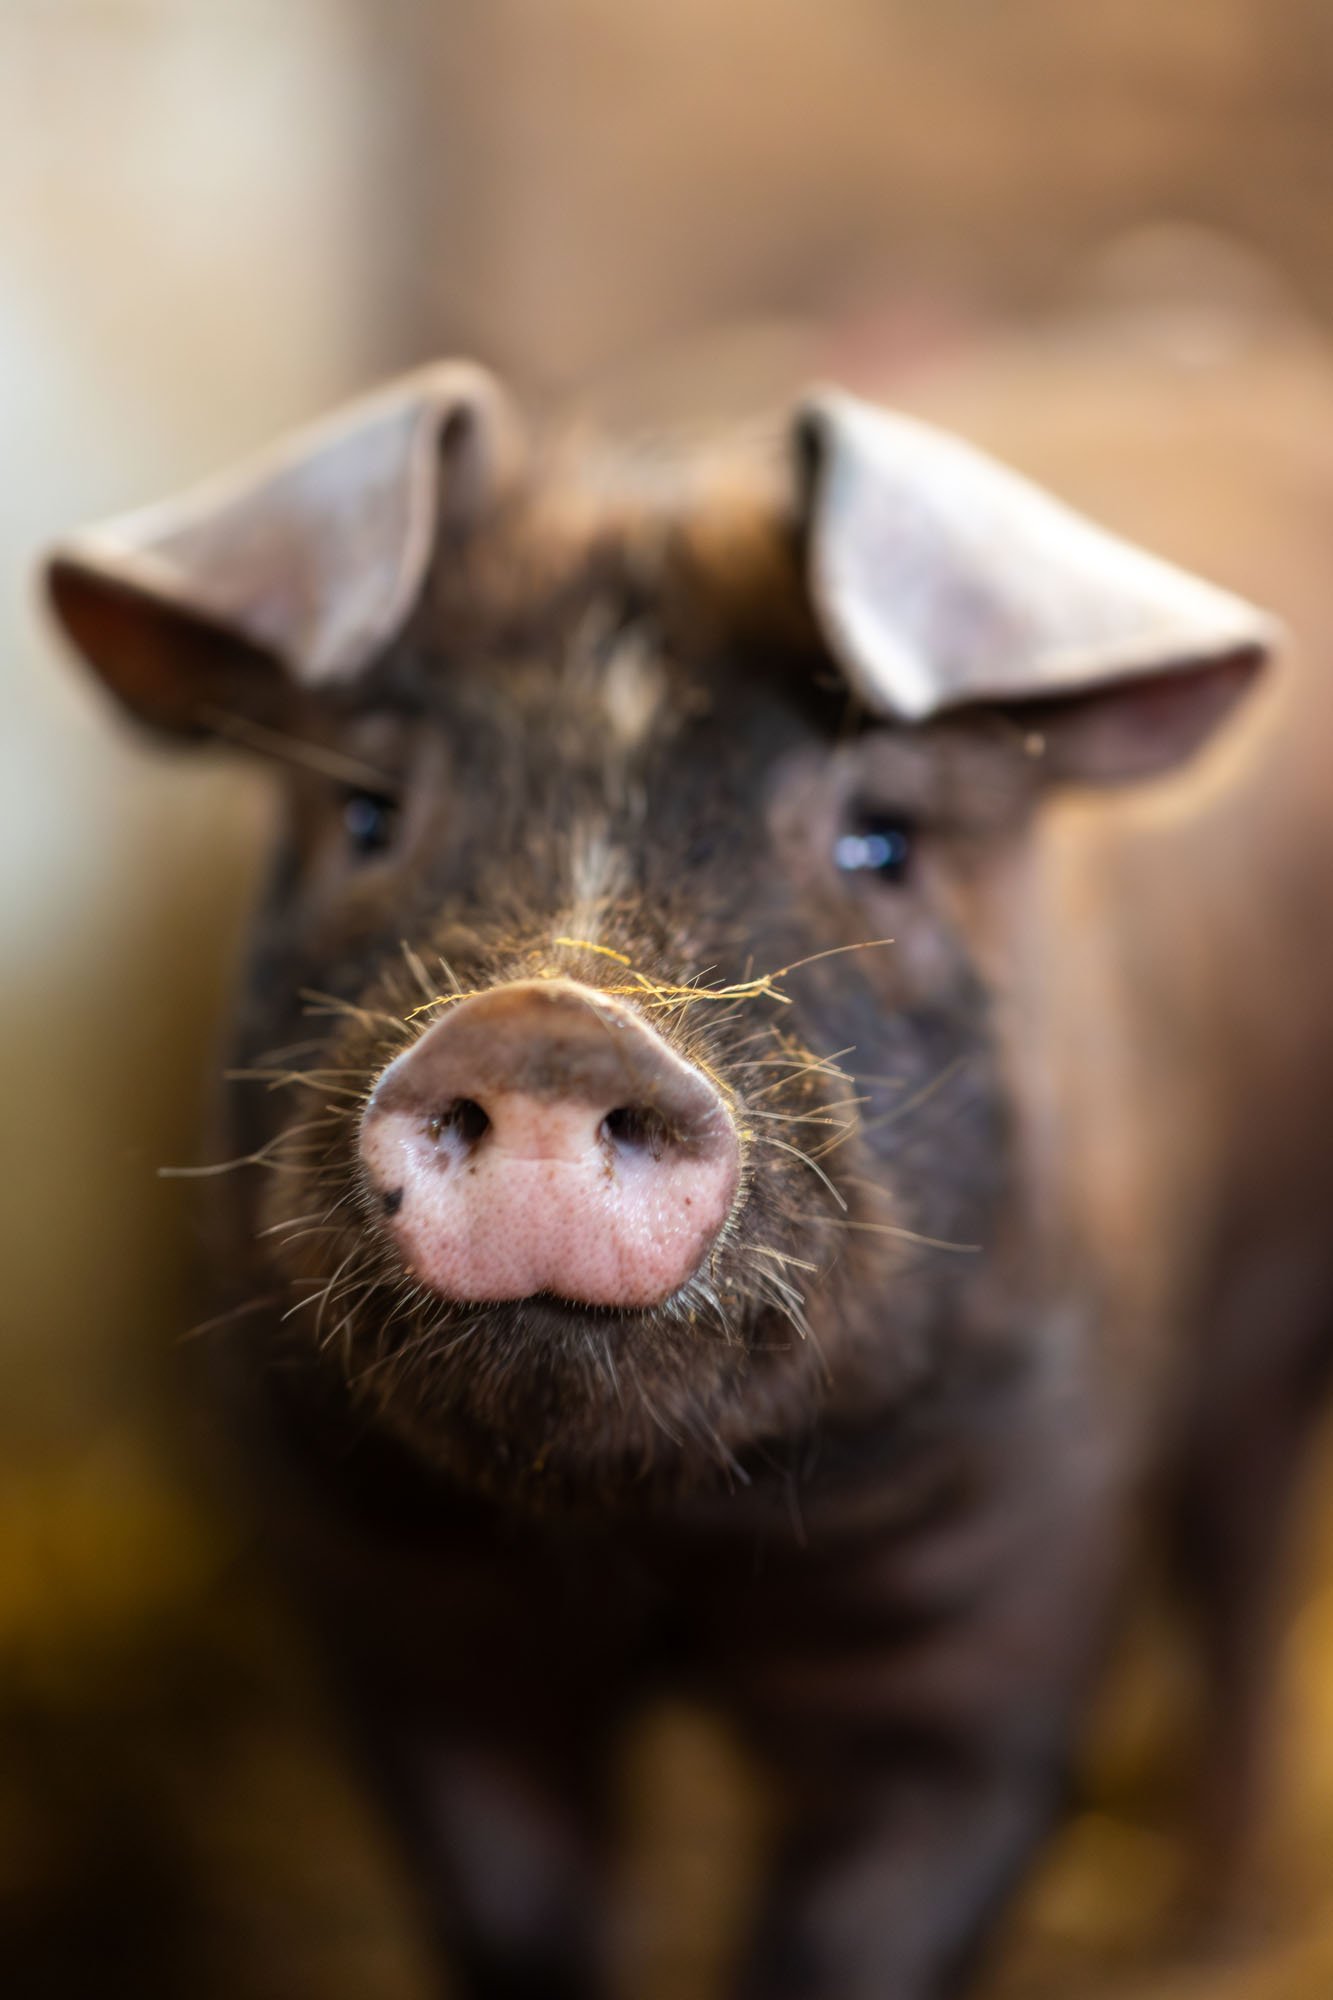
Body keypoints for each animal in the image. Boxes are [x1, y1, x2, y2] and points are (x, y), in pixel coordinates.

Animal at [42, 320, 1333, 1999]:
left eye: (881, 839)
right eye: (365, 812)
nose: (551, 1020)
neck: (654, 1547)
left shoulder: (1008, 1592)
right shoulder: (398, 1617)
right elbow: (519, 1915)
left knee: (1242, 1582)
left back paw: (1210, 1929)